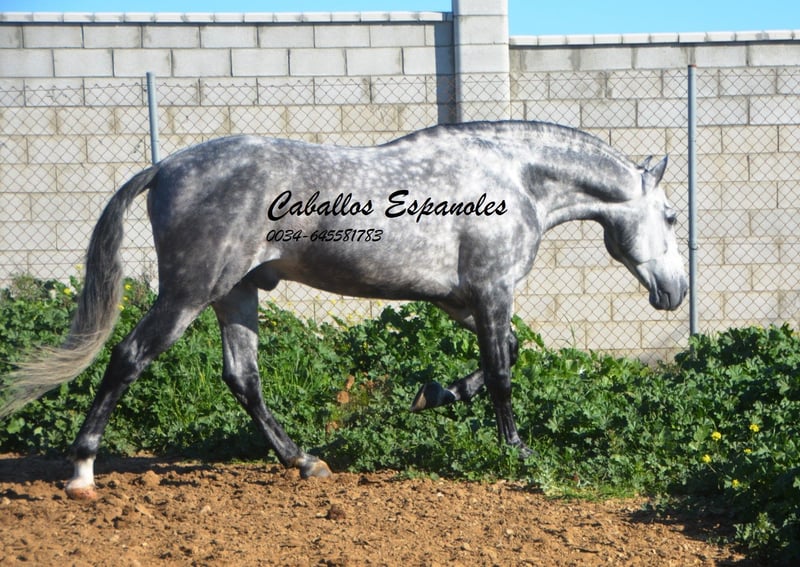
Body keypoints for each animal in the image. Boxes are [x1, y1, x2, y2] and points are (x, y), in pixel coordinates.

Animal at [0, 121, 687, 500]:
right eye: (672, 216)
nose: (675, 292)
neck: (513, 178)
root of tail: (165, 166)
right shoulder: (492, 291)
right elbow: (501, 373)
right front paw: (516, 452)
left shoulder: (459, 299)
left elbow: (504, 355)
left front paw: (430, 395)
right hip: (189, 293)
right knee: (129, 357)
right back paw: (82, 471)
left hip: (236, 294)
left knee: (241, 377)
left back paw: (305, 461)